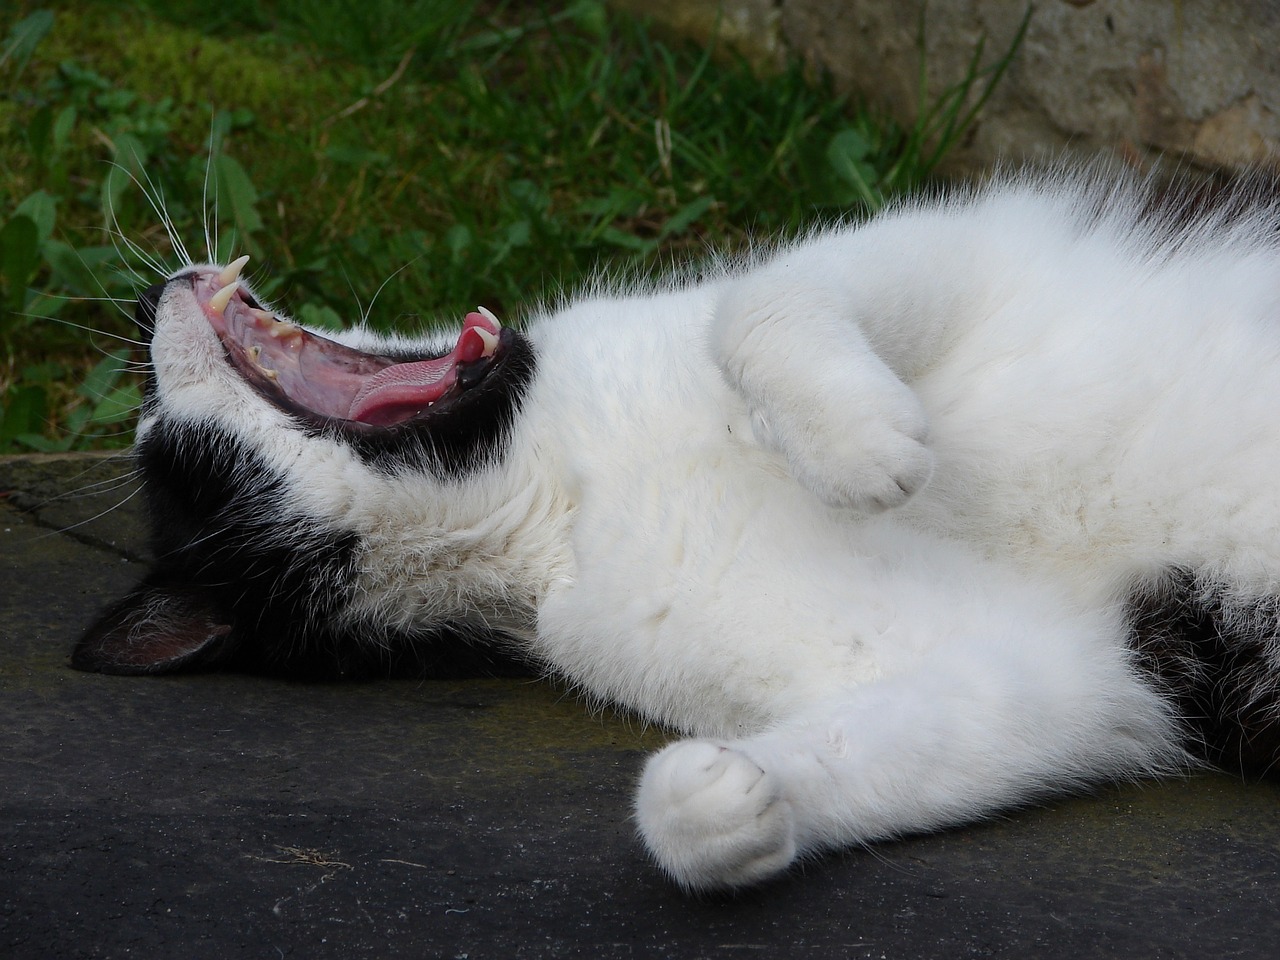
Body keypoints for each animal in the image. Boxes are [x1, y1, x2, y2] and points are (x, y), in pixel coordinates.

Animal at [72, 167, 1280, 896]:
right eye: (178, 463)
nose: (138, 307)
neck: (557, 488)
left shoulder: (968, 245)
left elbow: (754, 307)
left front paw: (858, 446)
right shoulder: (1070, 668)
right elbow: (989, 713)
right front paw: (725, 803)